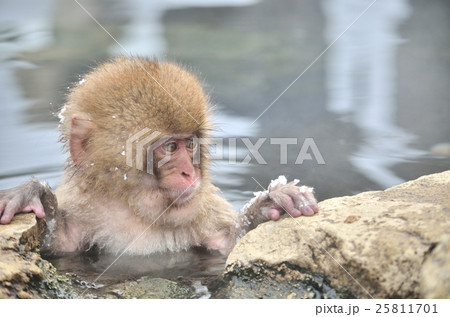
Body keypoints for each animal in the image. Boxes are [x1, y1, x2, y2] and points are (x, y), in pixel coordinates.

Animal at [0, 56, 318, 254]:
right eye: (170, 147)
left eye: (189, 144)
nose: (189, 172)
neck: (137, 211)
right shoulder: (83, 208)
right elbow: (61, 245)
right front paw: (35, 195)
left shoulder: (203, 212)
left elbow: (227, 244)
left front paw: (269, 204)